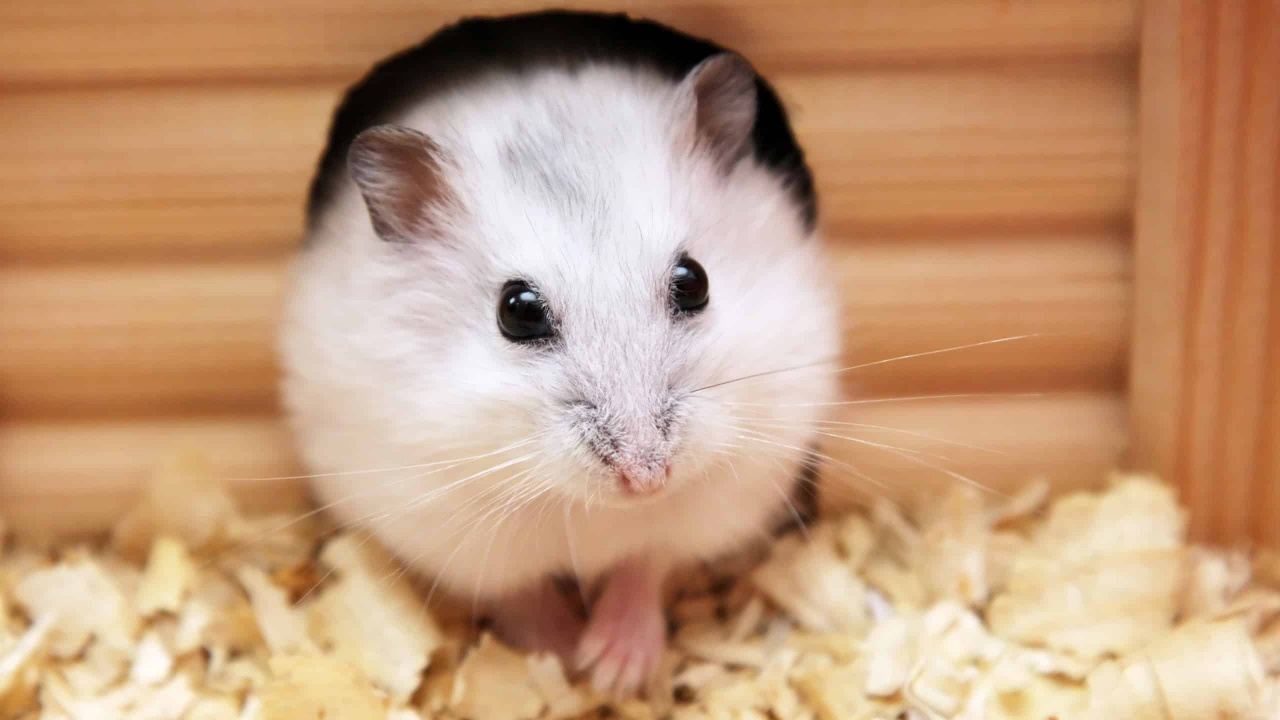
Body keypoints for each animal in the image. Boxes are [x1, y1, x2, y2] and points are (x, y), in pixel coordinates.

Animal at [278, 10, 841, 694]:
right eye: (517, 311)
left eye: (695, 281)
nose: (646, 478)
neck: (592, 508)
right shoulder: (451, 528)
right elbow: (520, 595)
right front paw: (563, 658)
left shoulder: (707, 504)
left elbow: (645, 564)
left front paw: (611, 671)